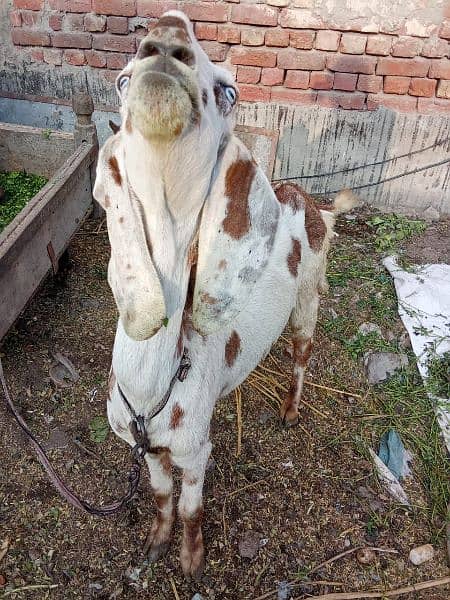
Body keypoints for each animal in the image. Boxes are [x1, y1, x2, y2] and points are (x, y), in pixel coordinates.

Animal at [93, 10, 356, 580]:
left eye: (228, 90)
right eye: (121, 79)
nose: (168, 31)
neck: (154, 389)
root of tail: (308, 201)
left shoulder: (197, 448)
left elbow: (192, 505)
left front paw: (192, 560)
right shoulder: (149, 448)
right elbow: (159, 495)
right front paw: (156, 544)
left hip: (309, 296)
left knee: (303, 351)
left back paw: (290, 410)